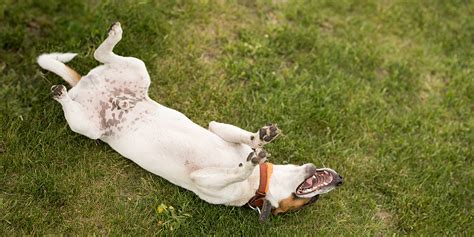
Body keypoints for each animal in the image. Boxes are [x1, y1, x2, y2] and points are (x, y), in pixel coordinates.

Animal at [36, 21, 340, 222]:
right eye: (311, 199)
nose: (340, 180)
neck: (259, 183)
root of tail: (82, 85)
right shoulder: (218, 129)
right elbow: (243, 141)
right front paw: (261, 140)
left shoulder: (203, 180)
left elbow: (237, 170)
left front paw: (252, 159)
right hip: (135, 72)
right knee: (100, 55)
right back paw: (108, 41)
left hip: (89, 124)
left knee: (81, 90)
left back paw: (62, 92)